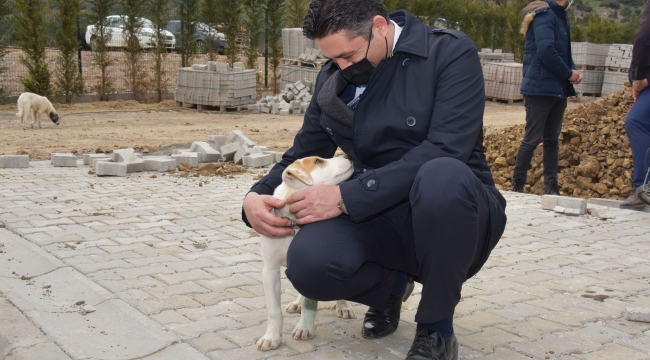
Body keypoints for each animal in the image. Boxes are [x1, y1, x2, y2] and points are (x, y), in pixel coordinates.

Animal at [256, 155, 354, 352]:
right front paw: (271, 337)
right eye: (318, 161)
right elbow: (273, 310)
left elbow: (310, 302)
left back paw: (343, 305)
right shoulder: (269, 270)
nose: (347, 155)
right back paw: (296, 303)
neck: (294, 222)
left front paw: (304, 328)